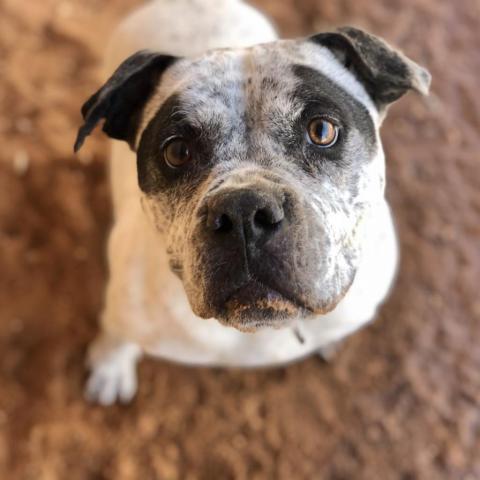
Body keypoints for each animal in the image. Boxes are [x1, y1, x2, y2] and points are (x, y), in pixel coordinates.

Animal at [75, 0, 432, 404]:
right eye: (177, 152)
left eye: (322, 130)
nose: (244, 211)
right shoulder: (123, 311)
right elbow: (116, 334)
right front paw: (111, 366)